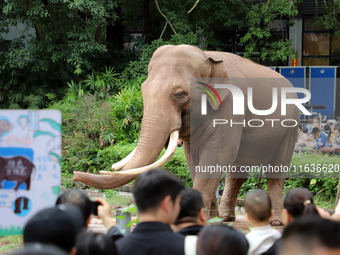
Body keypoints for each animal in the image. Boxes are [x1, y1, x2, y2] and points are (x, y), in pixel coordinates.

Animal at [74, 44, 300, 224]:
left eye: (180, 94)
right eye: (143, 90)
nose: (75, 175)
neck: (206, 56)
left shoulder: (230, 109)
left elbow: (216, 156)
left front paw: (198, 218)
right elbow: (194, 160)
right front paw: (210, 218)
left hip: (291, 128)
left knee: (275, 172)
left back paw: (276, 222)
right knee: (237, 172)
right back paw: (227, 218)